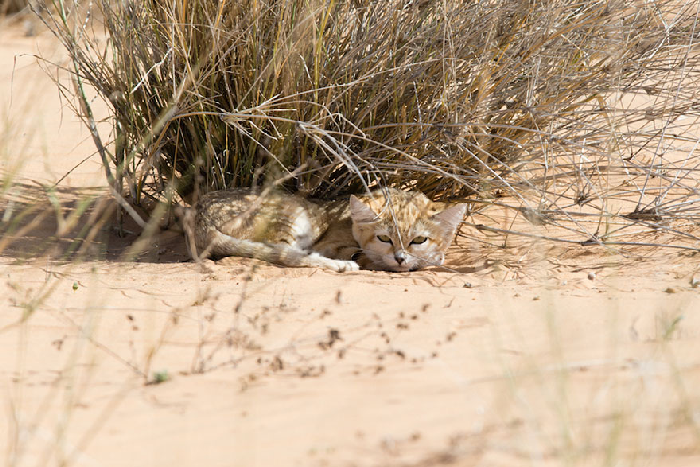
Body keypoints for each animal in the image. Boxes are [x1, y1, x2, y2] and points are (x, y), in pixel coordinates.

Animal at [186, 187, 468, 272]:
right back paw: (341, 266)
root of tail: (198, 217)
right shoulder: (330, 244)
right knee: (290, 255)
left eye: (419, 240)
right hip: (294, 215)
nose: (400, 258)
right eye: (384, 238)